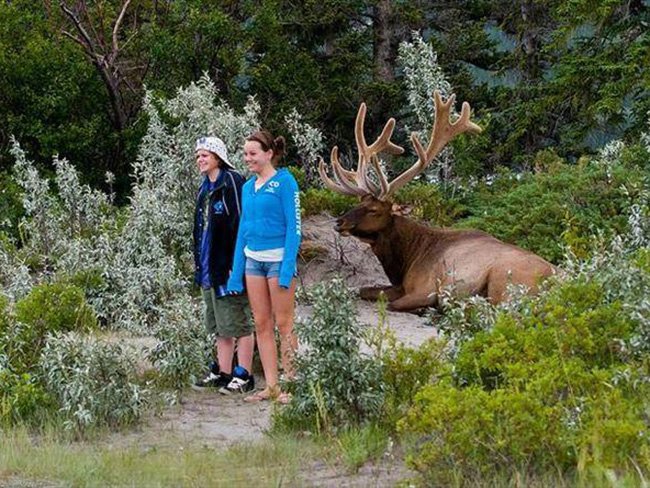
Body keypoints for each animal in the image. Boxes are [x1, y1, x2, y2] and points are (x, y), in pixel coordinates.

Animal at [318, 91, 552, 312]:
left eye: (374, 210)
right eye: (357, 204)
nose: (339, 222)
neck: (406, 260)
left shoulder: (426, 288)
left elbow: (393, 302)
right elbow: (363, 289)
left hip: (502, 281)